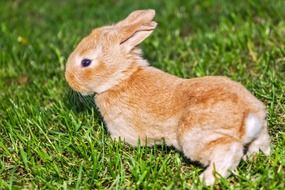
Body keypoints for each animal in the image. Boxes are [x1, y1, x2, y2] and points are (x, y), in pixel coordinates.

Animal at [65, 9, 270, 186]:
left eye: (86, 62)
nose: (68, 78)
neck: (120, 79)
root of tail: (249, 116)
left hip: (193, 138)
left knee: (228, 151)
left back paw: (204, 180)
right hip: (258, 131)